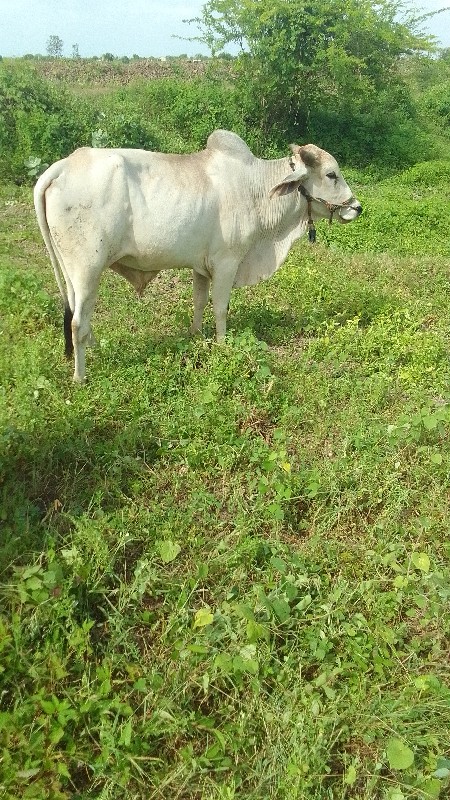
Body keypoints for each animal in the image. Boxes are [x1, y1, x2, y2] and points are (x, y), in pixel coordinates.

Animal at [33, 130, 360, 382]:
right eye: (331, 174)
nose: (356, 208)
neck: (255, 189)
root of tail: (62, 167)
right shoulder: (227, 263)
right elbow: (220, 308)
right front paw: (223, 345)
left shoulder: (201, 268)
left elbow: (200, 302)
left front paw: (196, 335)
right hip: (87, 269)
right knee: (77, 323)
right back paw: (80, 376)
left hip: (72, 273)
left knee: (77, 314)